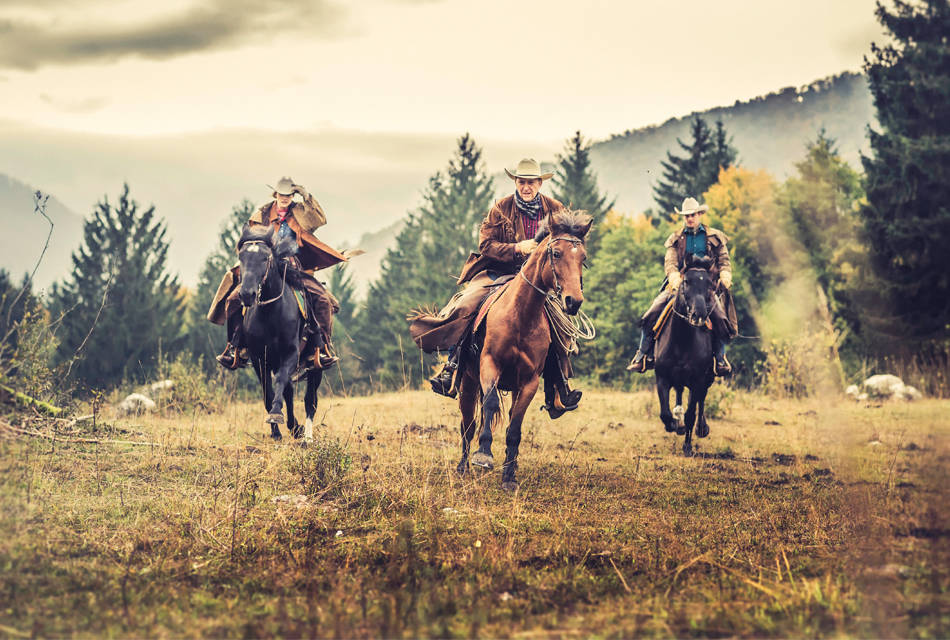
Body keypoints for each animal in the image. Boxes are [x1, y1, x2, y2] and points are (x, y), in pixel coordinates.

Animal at [236, 224, 323, 441]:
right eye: (241, 257)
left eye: (265, 258)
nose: (246, 294)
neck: (270, 313)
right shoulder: (260, 359)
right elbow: (269, 392)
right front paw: (276, 431)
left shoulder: (291, 353)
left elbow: (281, 382)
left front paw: (276, 414)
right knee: (289, 391)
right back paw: (294, 427)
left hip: (315, 365)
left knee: (310, 400)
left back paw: (307, 436)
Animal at [455, 210, 592, 491]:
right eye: (556, 253)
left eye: (582, 258)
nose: (573, 302)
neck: (520, 316)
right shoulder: (489, 365)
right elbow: (489, 405)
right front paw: (483, 455)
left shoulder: (528, 382)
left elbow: (515, 428)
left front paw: (509, 477)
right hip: (468, 382)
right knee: (468, 424)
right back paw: (463, 466)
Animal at [654, 254, 716, 455]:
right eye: (686, 281)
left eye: (709, 283)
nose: (699, 315)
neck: (681, 340)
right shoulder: (662, 377)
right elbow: (665, 413)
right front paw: (674, 425)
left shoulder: (697, 381)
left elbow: (691, 413)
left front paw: (688, 446)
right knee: (680, 393)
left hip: (706, 379)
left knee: (700, 402)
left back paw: (701, 428)